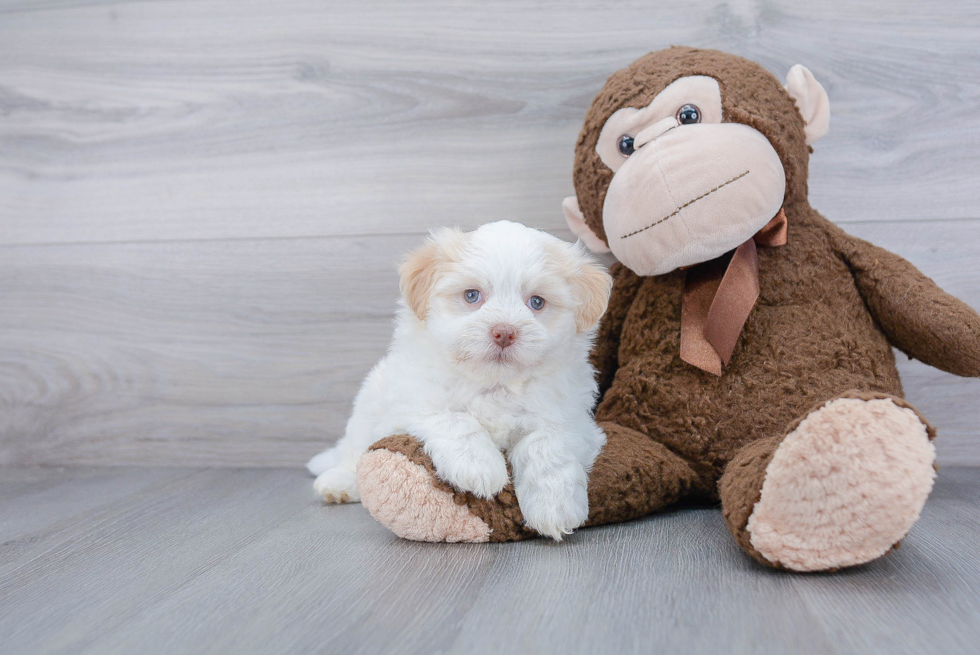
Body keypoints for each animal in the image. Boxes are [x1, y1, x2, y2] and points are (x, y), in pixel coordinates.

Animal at [306, 220, 612, 540]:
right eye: (471, 296)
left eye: (537, 302)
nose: (504, 332)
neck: (494, 383)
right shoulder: (412, 399)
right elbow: (455, 419)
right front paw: (479, 466)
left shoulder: (573, 420)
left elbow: (547, 445)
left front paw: (554, 506)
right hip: (368, 405)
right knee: (353, 449)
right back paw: (338, 483)